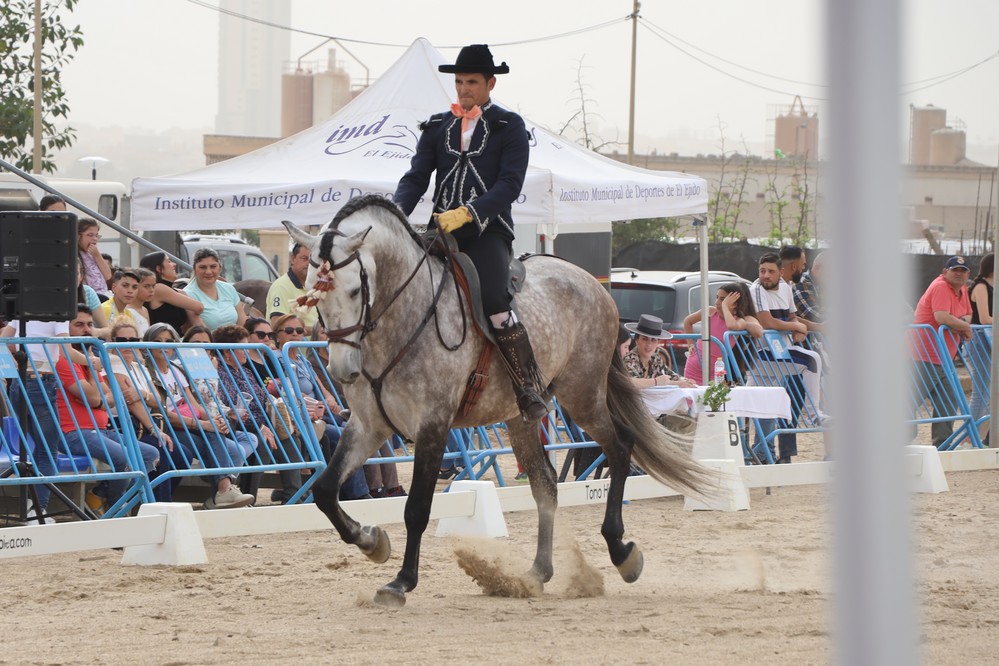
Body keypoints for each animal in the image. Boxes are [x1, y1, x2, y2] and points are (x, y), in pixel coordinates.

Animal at [282, 195, 712, 604]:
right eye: (311, 293)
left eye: (356, 289)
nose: (342, 370)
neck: (401, 317)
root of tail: (592, 283)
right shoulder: (369, 425)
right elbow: (324, 491)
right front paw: (372, 542)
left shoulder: (433, 425)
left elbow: (417, 508)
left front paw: (401, 581)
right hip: (522, 415)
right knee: (546, 483)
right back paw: (537, 573)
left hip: (582, 396)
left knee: (620, 447)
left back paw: (621, 553)